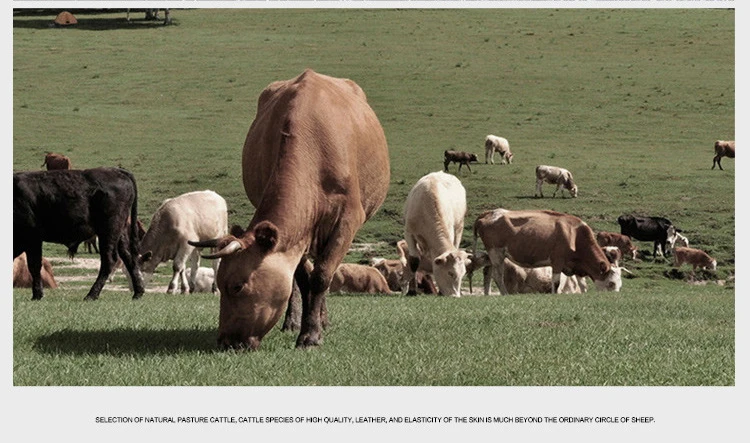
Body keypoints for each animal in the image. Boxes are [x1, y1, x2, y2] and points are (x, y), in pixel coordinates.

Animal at [14, 167, 147, 302]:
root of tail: (116, 170)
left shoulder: (32, 238)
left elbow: (34, 266)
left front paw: (37, 295)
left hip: (109, 232)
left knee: (109, 260)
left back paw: (91, 295)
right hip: (119, 234)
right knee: (128, 258)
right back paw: (138, 292)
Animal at [188, 69, 390, 352]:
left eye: (237, 286)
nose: (226, 341)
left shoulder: (347, 219)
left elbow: (322, 276)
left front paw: (312, 335)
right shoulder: (298, 233)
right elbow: (304, 279)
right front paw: (304, 327)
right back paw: (295, 320)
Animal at [476, 209, 624, 294]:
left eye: (620, 284)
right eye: (611, 283)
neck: (575, 234)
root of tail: (490, 213)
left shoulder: (576, 266)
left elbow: (583, 285)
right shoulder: (557, 260)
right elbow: (556, 283)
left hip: (493, 256)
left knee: (488, 273)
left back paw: (487, 293)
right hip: (496, 254)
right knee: (497, 276)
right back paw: (504, 293)